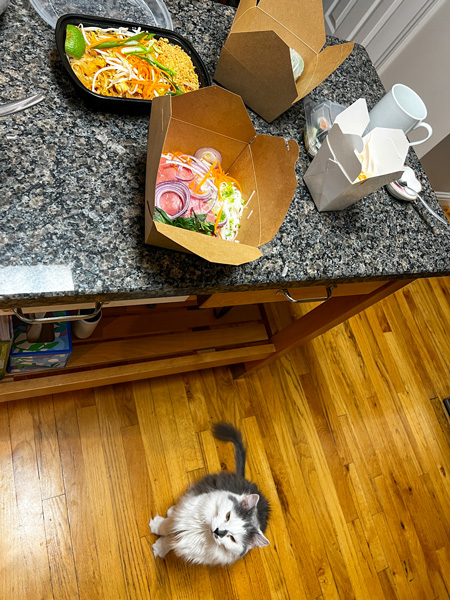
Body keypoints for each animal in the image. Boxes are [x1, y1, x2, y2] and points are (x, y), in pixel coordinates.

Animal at [149, 420, 268, 564]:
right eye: (228, 516)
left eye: (232, 538)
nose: (218, 531)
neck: (202, 529)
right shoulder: (187, 511)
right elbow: (168, 525)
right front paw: (156, 525)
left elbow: (172, 539)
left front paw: (160, 547)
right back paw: (171, 510)